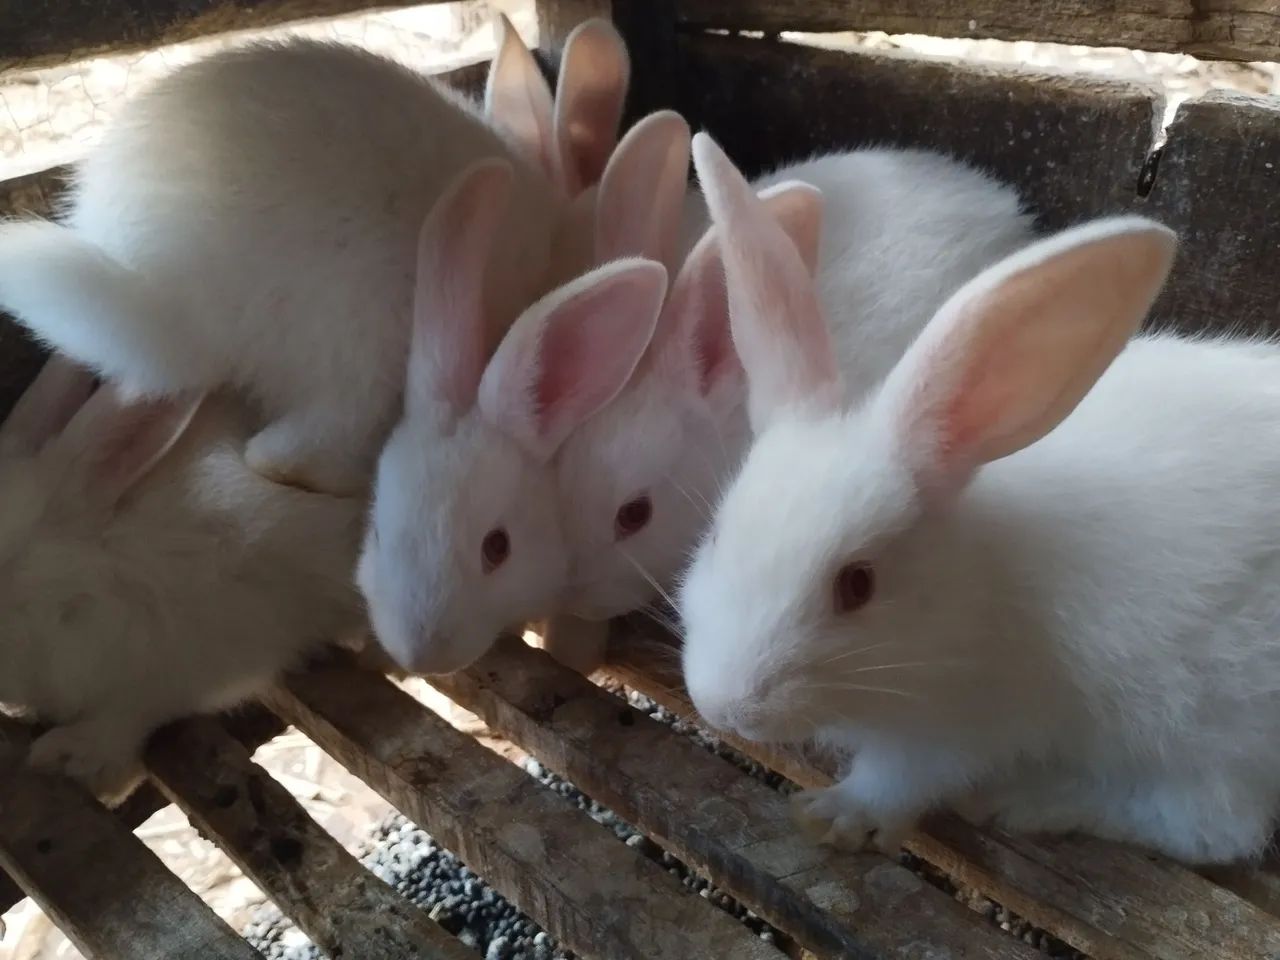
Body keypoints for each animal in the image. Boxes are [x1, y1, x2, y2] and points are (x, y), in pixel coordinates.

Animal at [679, 133, 1280, 866]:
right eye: (716, 536)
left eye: (857, 585)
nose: (726, 708)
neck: (961, 594)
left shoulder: (955, 725)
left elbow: (900, 780)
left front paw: (837, 816)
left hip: (1209, 724)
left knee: (1215, 825)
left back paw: (1035, 801)